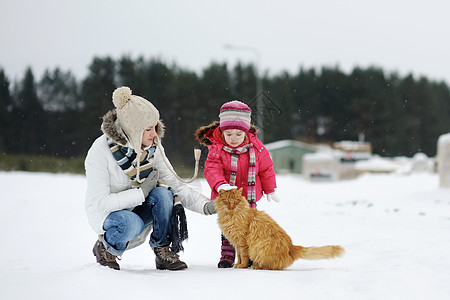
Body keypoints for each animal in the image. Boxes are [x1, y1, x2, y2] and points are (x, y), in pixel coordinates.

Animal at [214, 189, 344, 270]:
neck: (231, 216)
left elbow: (244, 257)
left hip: (260, 249)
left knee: (271, 266)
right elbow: (239, 256)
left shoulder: (242, 242)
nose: (232, 206)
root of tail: (291, 247)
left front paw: (242, 266)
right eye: (227, 201)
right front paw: (237, 264)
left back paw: (257, 266)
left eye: (236, 201)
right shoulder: (236, 243)